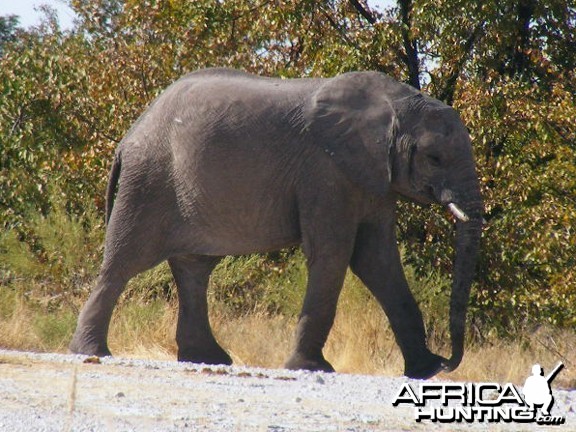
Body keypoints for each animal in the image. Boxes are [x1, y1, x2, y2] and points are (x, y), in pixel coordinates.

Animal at [70, 66, 484, 378]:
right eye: (434, 158)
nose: (448, 363)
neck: (396, 104)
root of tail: (129, 135)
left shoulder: (374, 178)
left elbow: (377, 260)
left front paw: (423, 371)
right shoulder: (324, 171)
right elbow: (333, 254)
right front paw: (312, 368)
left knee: (194, 270)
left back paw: (209, 359)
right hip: (148, 181)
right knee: (124, 263)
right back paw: (92, 353)